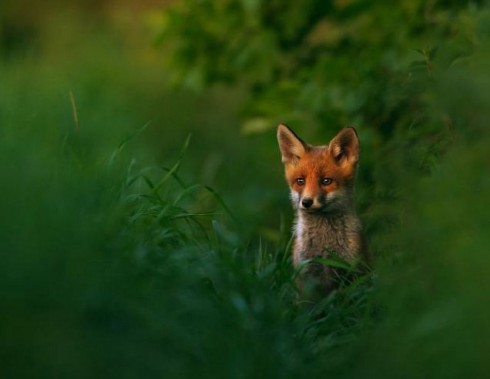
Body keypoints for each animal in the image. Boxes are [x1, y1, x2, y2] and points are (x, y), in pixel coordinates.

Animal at [276, 124, 368, 296]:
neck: (324, 246)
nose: (306, 202)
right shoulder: (306, 275)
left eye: (326, 181)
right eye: (300, 181)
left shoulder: (351, 272)